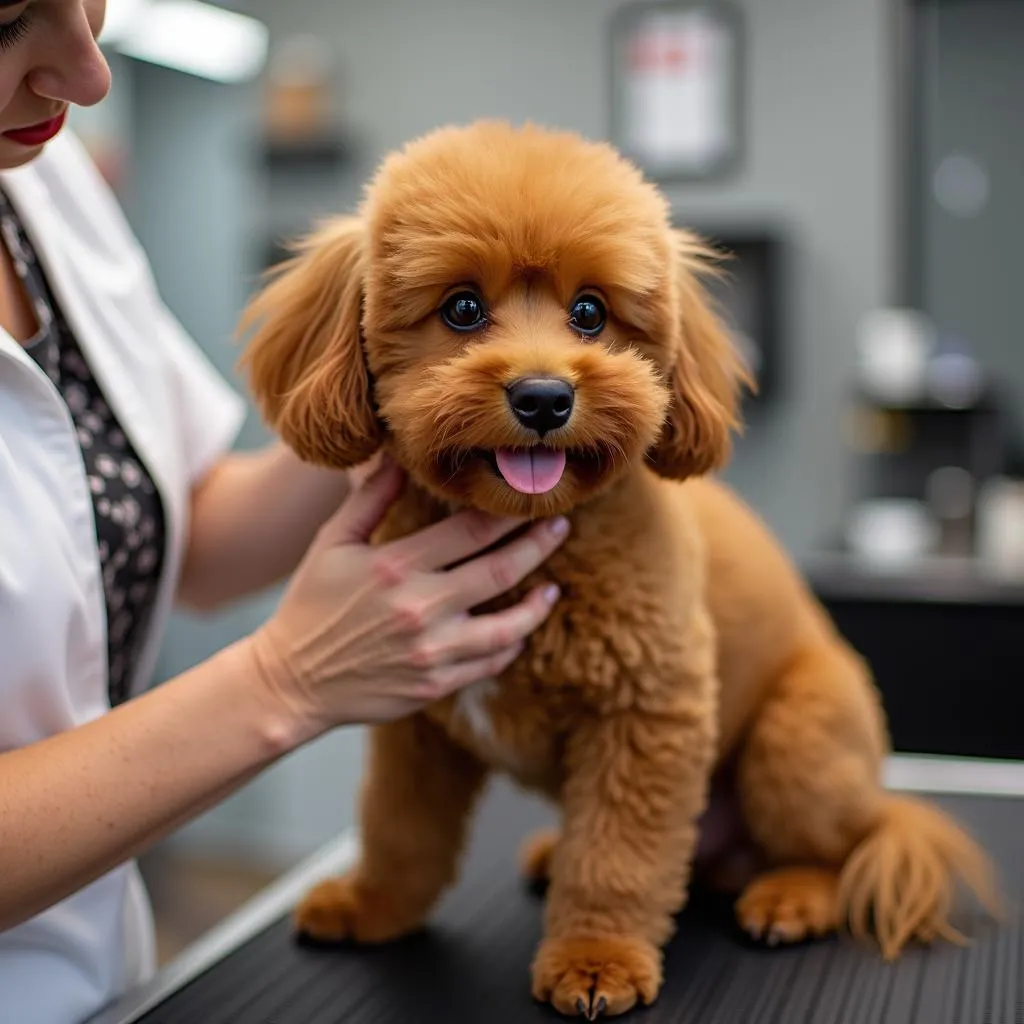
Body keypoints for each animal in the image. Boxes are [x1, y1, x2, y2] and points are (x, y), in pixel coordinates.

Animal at [235, 117, 995, 1015]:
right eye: (462, 308)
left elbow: (616, 858)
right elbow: (399, 829)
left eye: (590, 313)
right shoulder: (417, 725)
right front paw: (374, 904)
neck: (527, 541)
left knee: (834, 852)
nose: (543, 397)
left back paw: (791, 897)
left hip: (798, 739)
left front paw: (594, 958)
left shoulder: (645, 713)